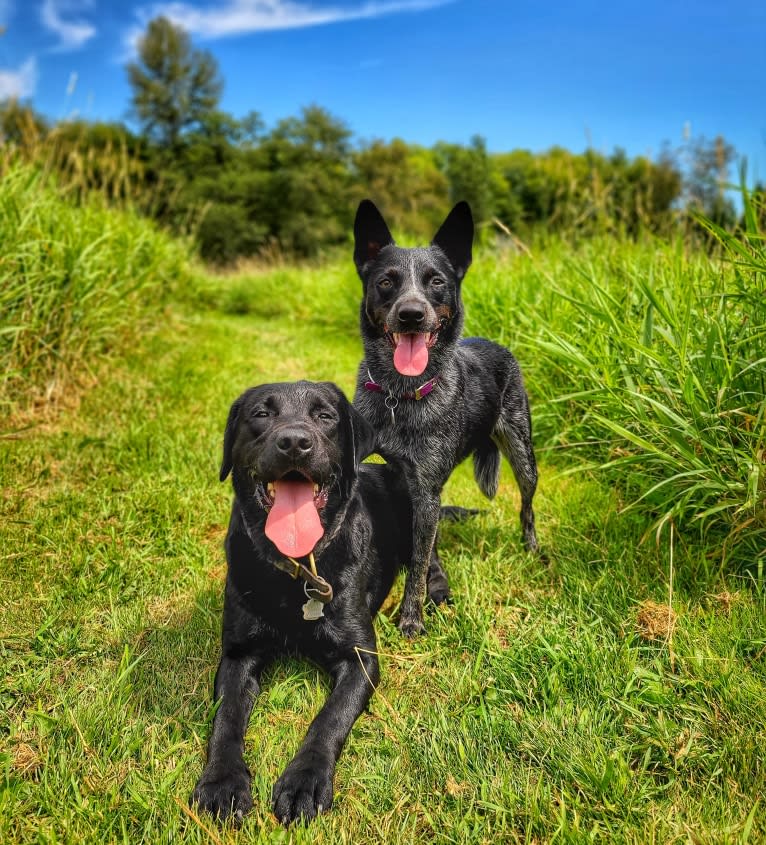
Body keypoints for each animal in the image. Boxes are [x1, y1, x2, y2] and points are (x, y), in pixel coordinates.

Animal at [194, 380, 414, 824]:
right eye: (261, 414)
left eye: (325, 416)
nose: (294, 442)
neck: (299, 568)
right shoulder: (238, 654)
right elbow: (226, 719)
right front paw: (223, 782)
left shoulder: (361, 659)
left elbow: (330, 718)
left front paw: (305, 782)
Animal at [354, 199, 540, 632]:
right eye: (386, 282)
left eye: (436, 281)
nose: (411, 314)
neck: (398, 396)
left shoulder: (425, 490)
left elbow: (420, 562)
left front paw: (411, 620)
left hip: (524, 456)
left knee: (526, 506)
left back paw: (531, 547)